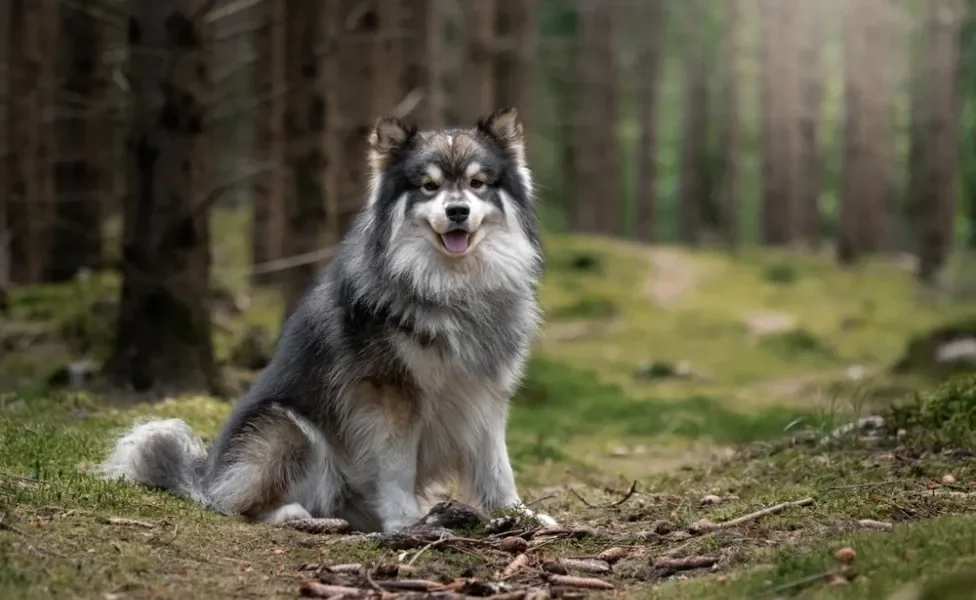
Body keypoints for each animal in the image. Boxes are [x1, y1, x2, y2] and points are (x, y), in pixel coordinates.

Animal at [101, 106, 556, 528]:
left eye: (478, 183)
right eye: (429, 186)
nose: (458, 210)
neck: (451, 288)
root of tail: (206, 476)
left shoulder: (486, 391)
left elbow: (497, 466)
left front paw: (520, 514)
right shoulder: (389, 395)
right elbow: (397, 466)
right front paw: (405, 522)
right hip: (287, 428)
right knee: (237, 505)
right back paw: (294, 514)